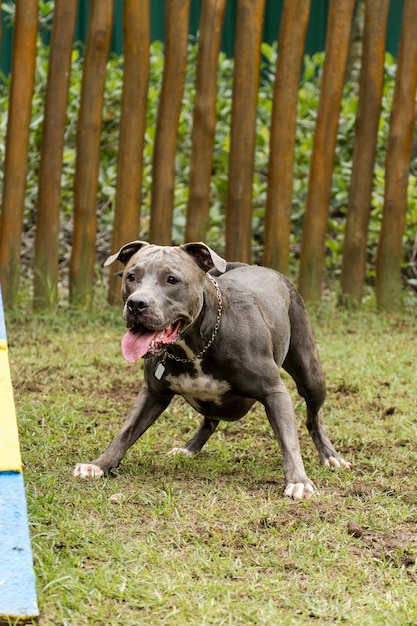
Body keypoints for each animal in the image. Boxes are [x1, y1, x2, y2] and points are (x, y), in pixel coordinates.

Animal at [73, 239, 350, 498]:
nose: (136, 304)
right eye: (131, 276)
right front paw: (100, 464)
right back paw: (188, 448)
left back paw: (331, 456)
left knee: (313, 417)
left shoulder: (274, 392)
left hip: (311, 375)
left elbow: (288, 439)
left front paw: (298, 480)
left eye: (172, 280)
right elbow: (126, 431)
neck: (195, 346)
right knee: (210, 420)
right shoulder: (153, 393)